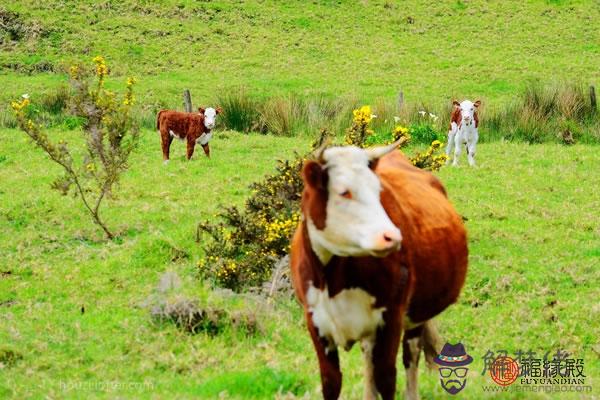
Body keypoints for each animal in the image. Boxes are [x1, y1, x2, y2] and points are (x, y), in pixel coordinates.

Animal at [290, 139, 468, 398]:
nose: (392, 237)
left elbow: (386, 378)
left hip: (416, 313)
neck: (333, 280)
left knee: (411, 353)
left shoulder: (392, 317)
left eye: (378, 191)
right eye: (344, 192)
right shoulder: (316, 322)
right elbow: (331, 381)